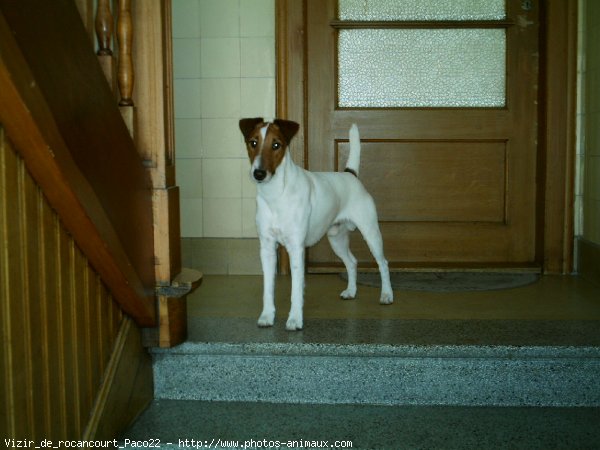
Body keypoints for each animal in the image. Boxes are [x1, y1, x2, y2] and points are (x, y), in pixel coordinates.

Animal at [239, 118, 394, 330]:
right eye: (253, 143)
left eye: (276, 145)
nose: (259, 173)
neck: (276, 195)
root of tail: (350, 174)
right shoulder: (267, 249)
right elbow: (268, 289)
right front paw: (267, 316)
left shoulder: (296, 248)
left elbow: (296, 290)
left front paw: (295, 319)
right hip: (337, 239)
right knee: (351, 262)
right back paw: (351, 291)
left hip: (371, 233)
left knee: (383, 263)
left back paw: (386, 295)